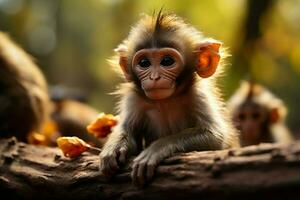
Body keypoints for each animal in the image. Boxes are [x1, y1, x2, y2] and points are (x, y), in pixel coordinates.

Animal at [99, 12, 240, 186]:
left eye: (167, 61)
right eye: (144, 63)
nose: (154, 77)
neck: (165, 101)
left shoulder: (198, 95)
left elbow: (216, 136)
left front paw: (156, 149)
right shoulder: (134, 99)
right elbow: (128, 130)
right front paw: (112, 148)